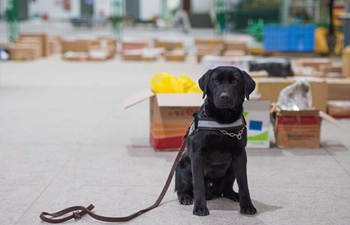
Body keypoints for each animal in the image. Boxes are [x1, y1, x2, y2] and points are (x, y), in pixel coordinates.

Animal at [175, 66, 258, 216]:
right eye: (215, 81)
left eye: (235, 81)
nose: (224, 96)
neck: (223, 122)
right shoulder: (198, 155)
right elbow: (199, 185)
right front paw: (200, 207)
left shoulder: (240, 155)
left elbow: (243, 183)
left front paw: (247, 205)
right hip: (183, 167)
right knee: (182, 189)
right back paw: (185, 197)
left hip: (231, 169)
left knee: (226, 190)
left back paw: (234, 195)